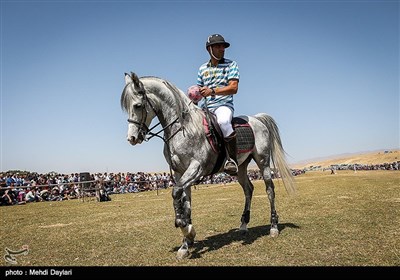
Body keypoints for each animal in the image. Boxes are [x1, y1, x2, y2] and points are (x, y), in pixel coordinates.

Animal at [120, 72, 296, 260]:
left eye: (138, 106)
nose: (131, 138)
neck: (183, 128)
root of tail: (257, 119)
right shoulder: (180, 173)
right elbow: (185, 203)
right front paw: (186, 242)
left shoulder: (196, 168)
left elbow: (176, 193)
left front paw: (185, 227)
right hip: (241, 167)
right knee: (248, 189)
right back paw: (243, 225)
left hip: (263, 162)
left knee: (270, 190)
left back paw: (273, 227)